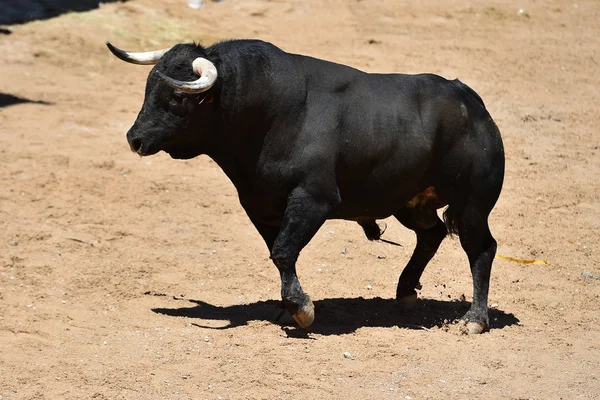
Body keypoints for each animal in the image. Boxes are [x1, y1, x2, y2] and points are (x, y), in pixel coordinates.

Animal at [109, 39, 506, 334]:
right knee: (431, 234)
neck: (267, 112)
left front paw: (302, 310)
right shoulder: (261, 205)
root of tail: (472, 103)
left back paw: (474, 319)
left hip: (472, 205)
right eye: (148, 88)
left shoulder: (314, 199)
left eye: (177, 98)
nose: (134, 138)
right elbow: (278, 252)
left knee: (482, 248)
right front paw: (288, 306)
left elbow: (284, 251)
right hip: (410, 202)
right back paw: (406, 292)